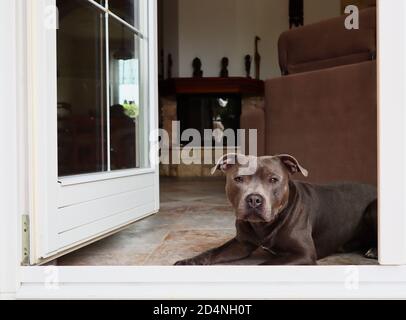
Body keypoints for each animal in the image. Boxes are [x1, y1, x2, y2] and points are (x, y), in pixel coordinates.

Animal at [174, 154, 378, 264]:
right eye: (239, 179)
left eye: (273, 179)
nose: (254, 199)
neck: (265, 225)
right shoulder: (241, 244)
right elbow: (213, 252)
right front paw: (188, 262)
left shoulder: (303, 253)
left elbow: (266, 265)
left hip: (372, 209)